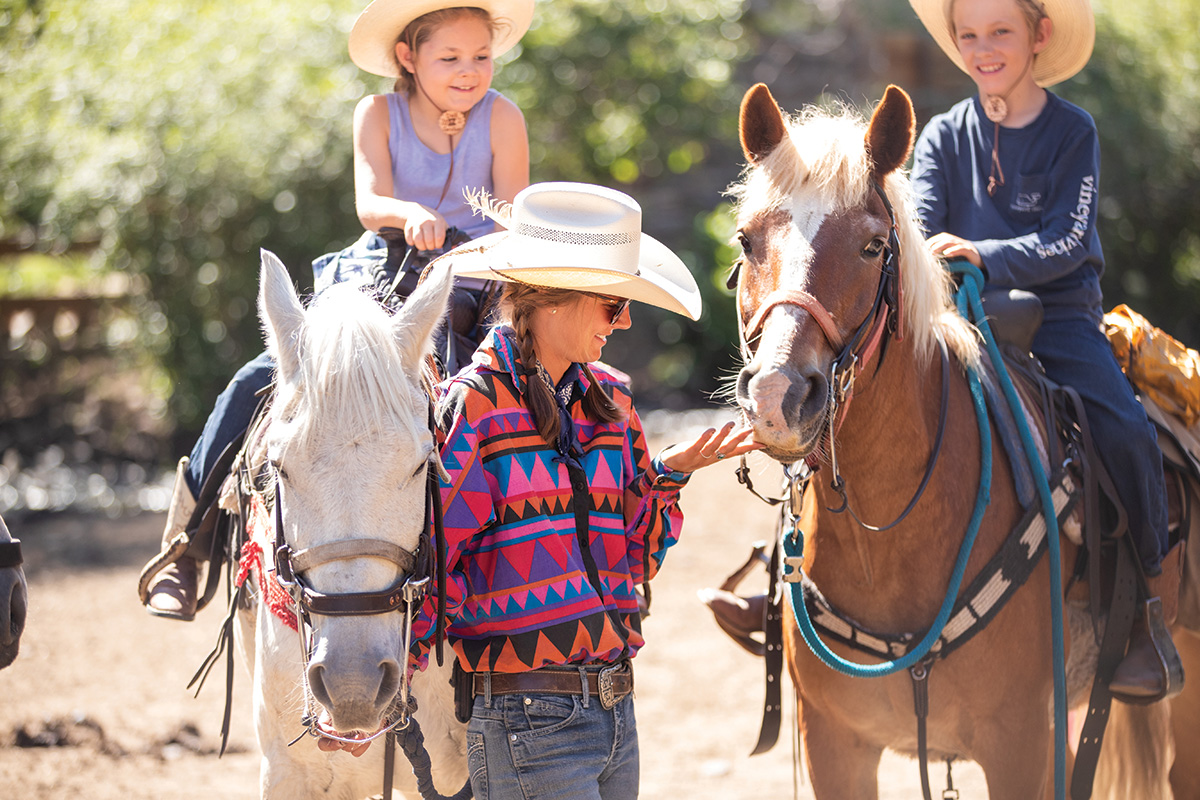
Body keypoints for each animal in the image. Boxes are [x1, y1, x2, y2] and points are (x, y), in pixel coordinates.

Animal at [724, 82, 1176, 800]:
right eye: (746, 240)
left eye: (872, 246)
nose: (777, 394)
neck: (886, 540)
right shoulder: (835, 745)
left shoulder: (1021, 745)